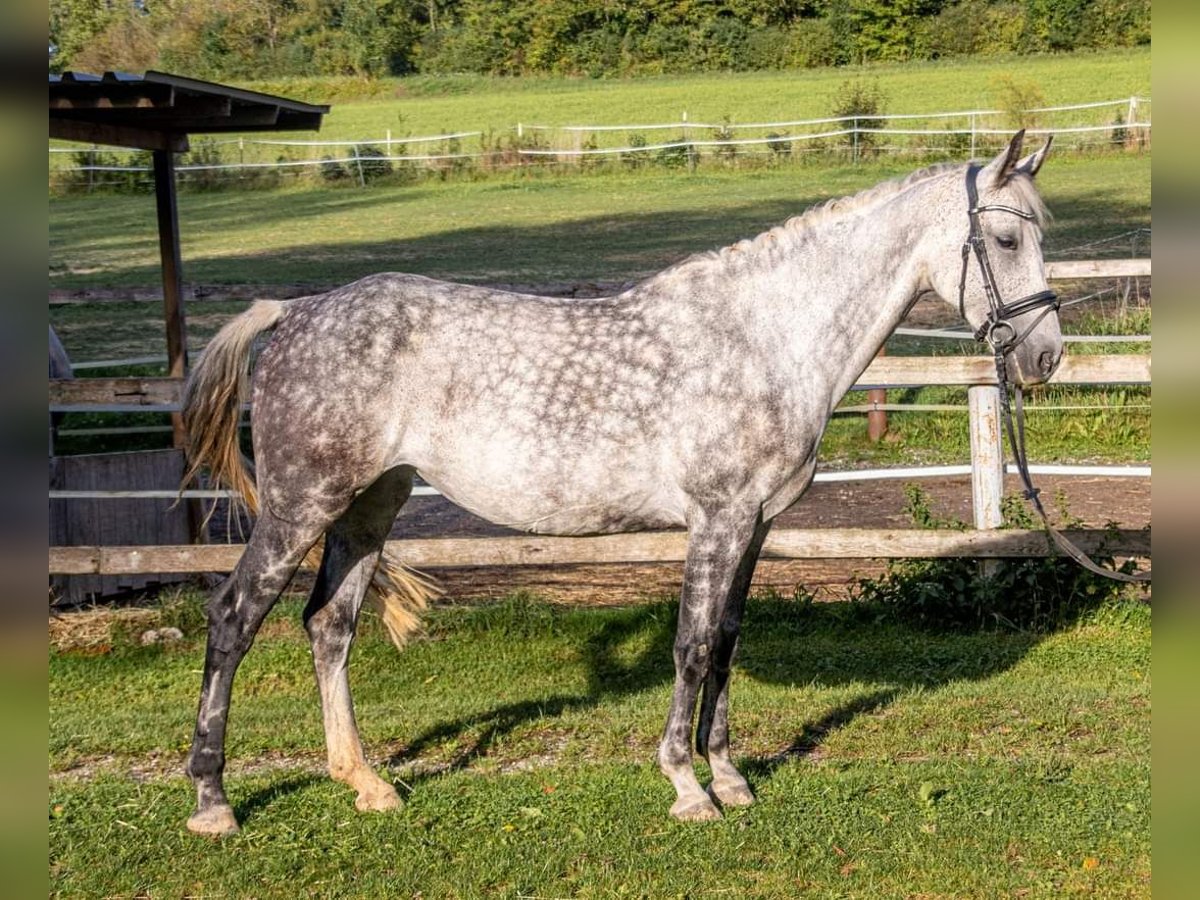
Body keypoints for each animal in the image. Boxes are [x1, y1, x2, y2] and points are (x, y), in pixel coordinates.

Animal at [177, 130, 1060, 835]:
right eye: (1004, 238)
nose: (1045, 356)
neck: (766, 336)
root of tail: (293, 312)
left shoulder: (756, 525)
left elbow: (727, 641)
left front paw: (730, 776)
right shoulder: (716, 519)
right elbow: (692, 645)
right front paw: (686, 786)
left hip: (370, 504)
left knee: (330, 626)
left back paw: (366, 782)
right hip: (301, 506)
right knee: (233, 621)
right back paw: (213, 801)